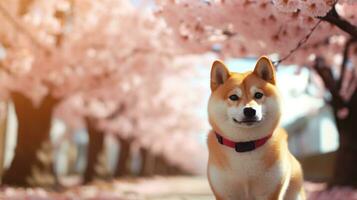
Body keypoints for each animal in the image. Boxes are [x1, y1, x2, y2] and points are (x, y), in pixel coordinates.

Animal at [206, 56, 304, 200]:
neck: (246, 145)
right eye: (233, 97)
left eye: (258, 95)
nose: (249, 110)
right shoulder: (224, 192)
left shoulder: (271, 191)